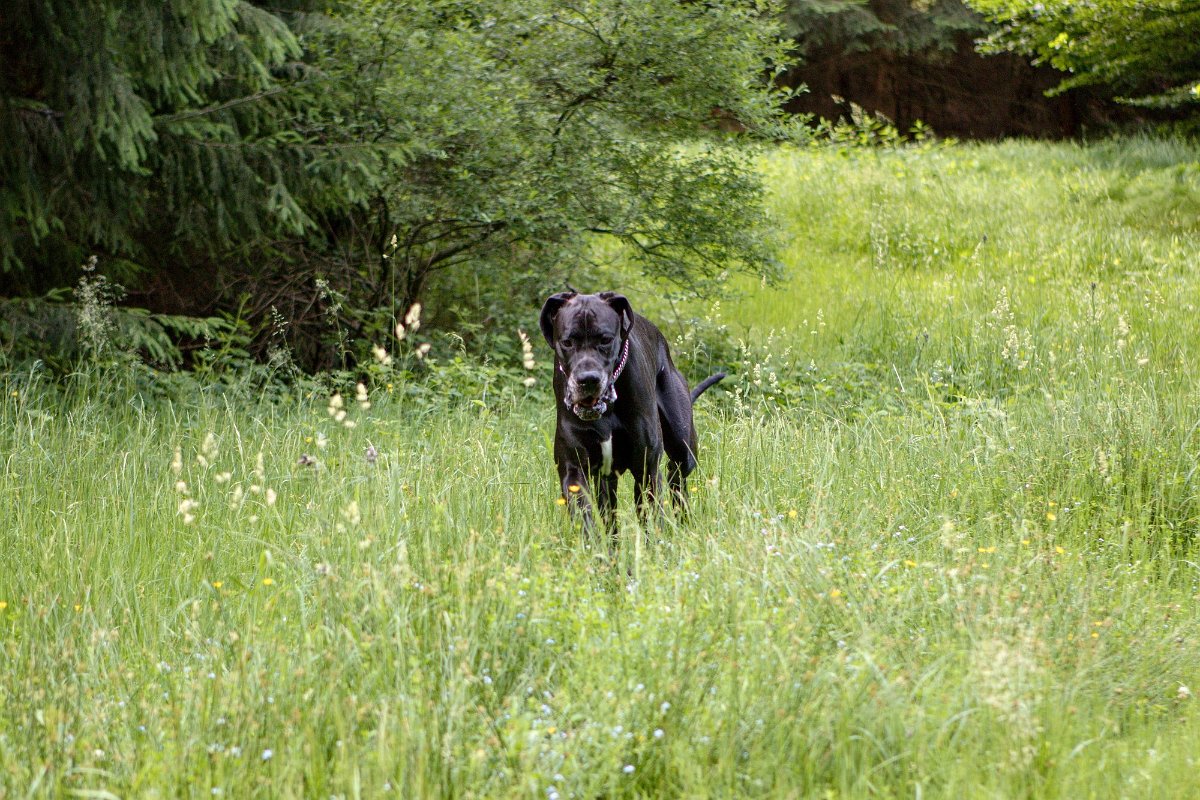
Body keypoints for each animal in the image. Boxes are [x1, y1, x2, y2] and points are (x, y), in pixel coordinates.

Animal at [542, 291, 724, 534]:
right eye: (567, 342)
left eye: (606, 340)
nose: (588, 379)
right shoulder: (573, 470)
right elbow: (586, 517)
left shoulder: (646, 469)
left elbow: (651, 519)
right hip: (606, 478)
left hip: (682, 448)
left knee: (677, 481)